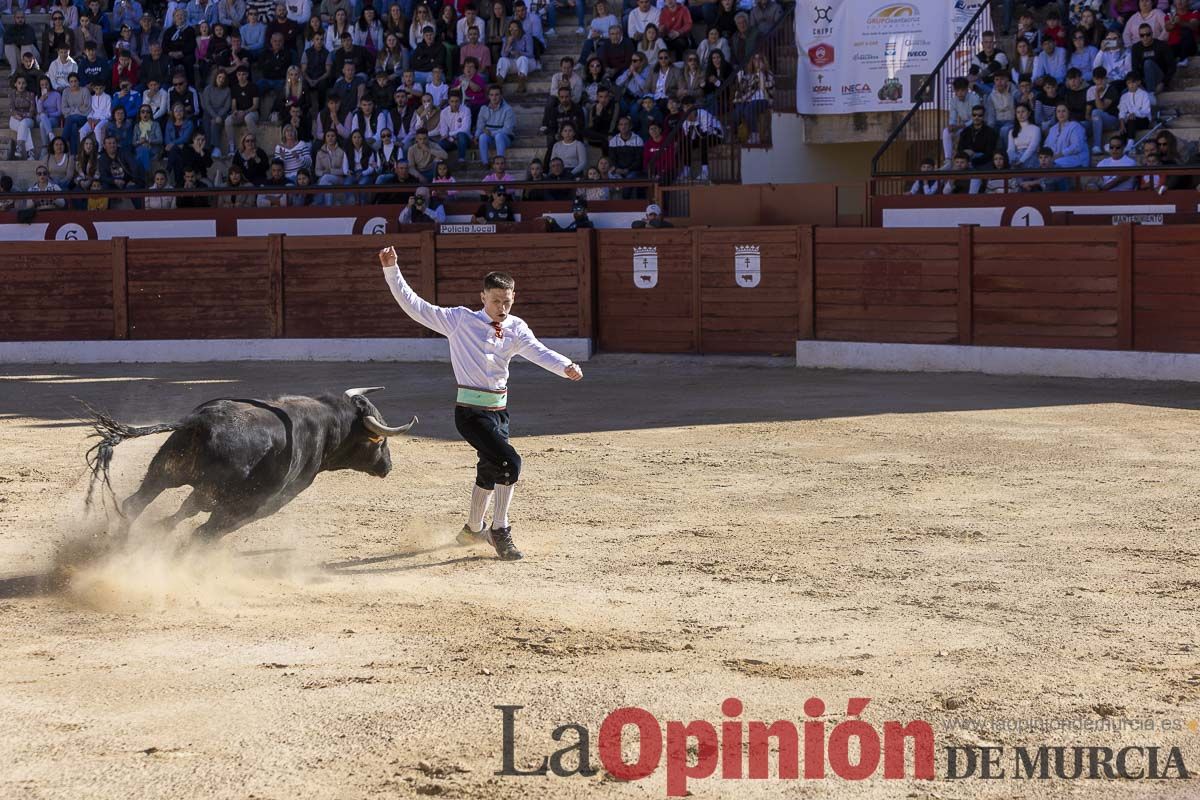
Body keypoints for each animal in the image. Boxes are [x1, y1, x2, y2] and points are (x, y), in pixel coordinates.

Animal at [84, 386, 417, 542]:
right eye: (381, 442)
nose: (388, 466)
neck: (327, 425)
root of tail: (200, 422)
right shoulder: (262, 504)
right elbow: (207, 529)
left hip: (165, 470)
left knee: (137, 503)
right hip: (220, 494)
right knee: (195, 521)